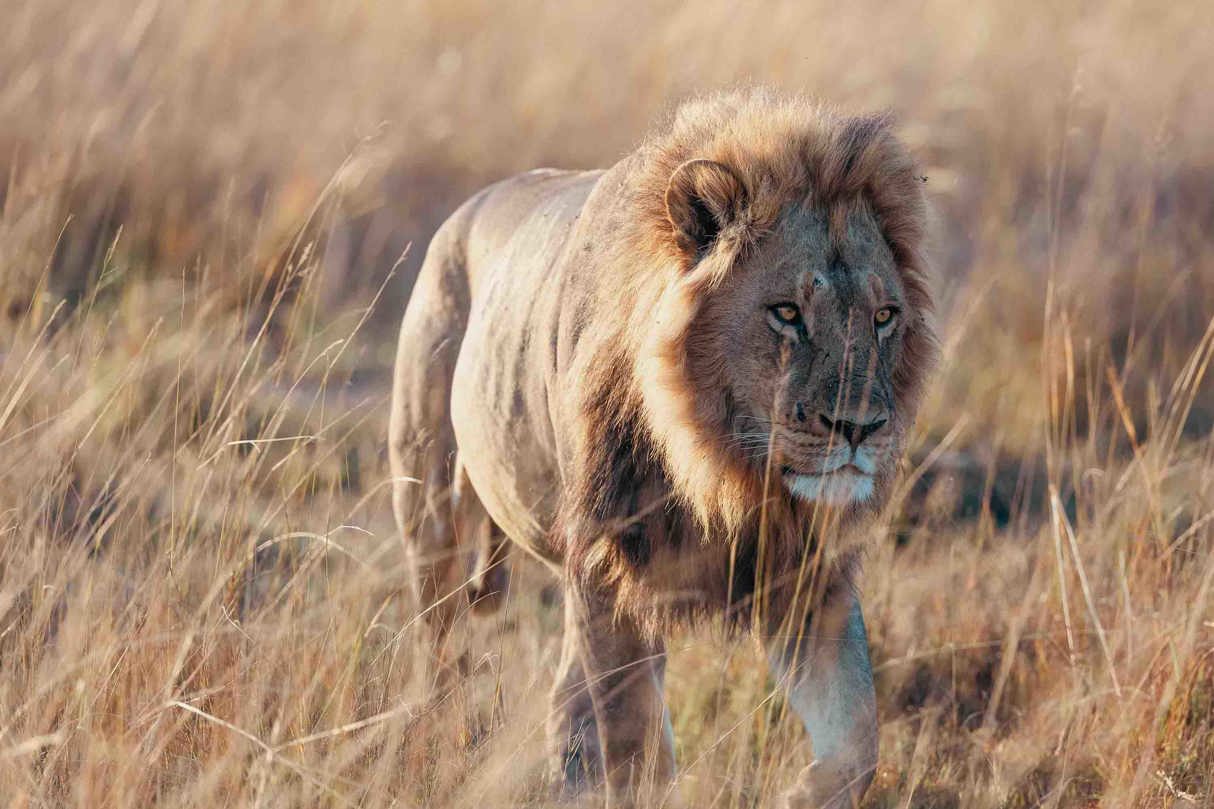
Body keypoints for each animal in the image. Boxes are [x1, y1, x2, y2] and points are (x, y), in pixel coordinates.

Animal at [389, 89, 937, 808]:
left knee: (579, 693)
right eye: (787, 312)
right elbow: (627, 738)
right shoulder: (607, 565)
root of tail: (468, 209)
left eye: (884, 317)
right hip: (429, 506)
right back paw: (434, 742)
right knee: (440, 644)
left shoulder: (808, 577)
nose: (860, 427)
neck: (722, 470)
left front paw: (804, 792)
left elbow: (858, 735)